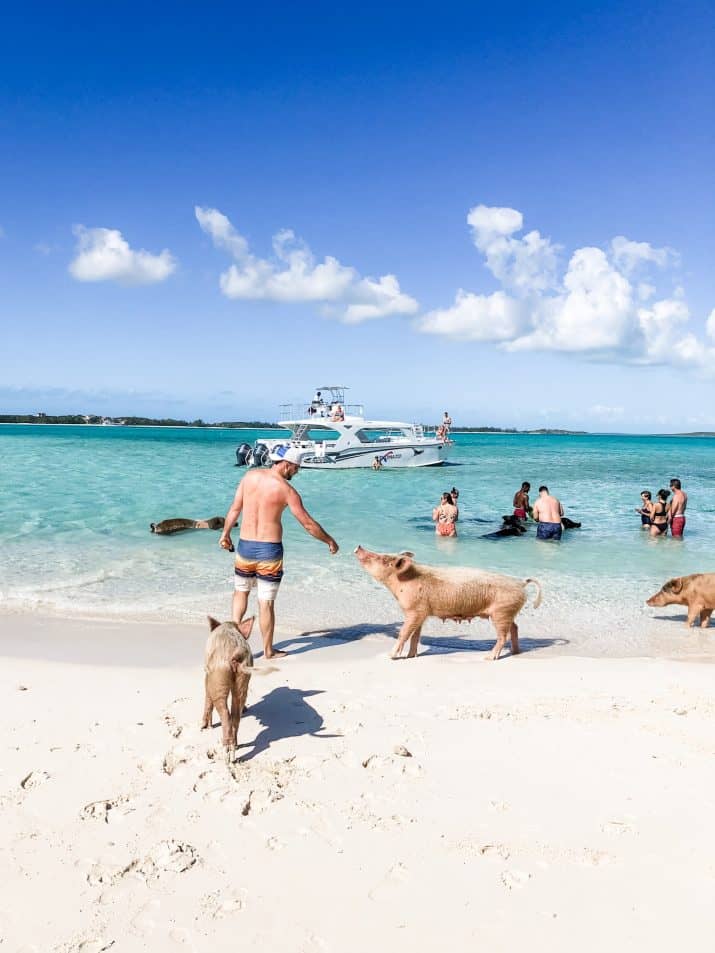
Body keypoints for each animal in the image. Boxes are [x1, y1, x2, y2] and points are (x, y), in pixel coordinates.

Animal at [352, 548, 544, 660]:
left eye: (384, 559)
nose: (358, 547)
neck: (402, 582)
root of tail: (520, 583)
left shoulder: (414, 610)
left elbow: (404, 633)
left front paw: (390, 656)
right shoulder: (421, 612)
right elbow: (415, 635)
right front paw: (411, 656)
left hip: (501, 612)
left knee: (503, 635)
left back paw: (489, 658)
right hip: (508, 612)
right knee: (515, 627)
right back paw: (516, 653)